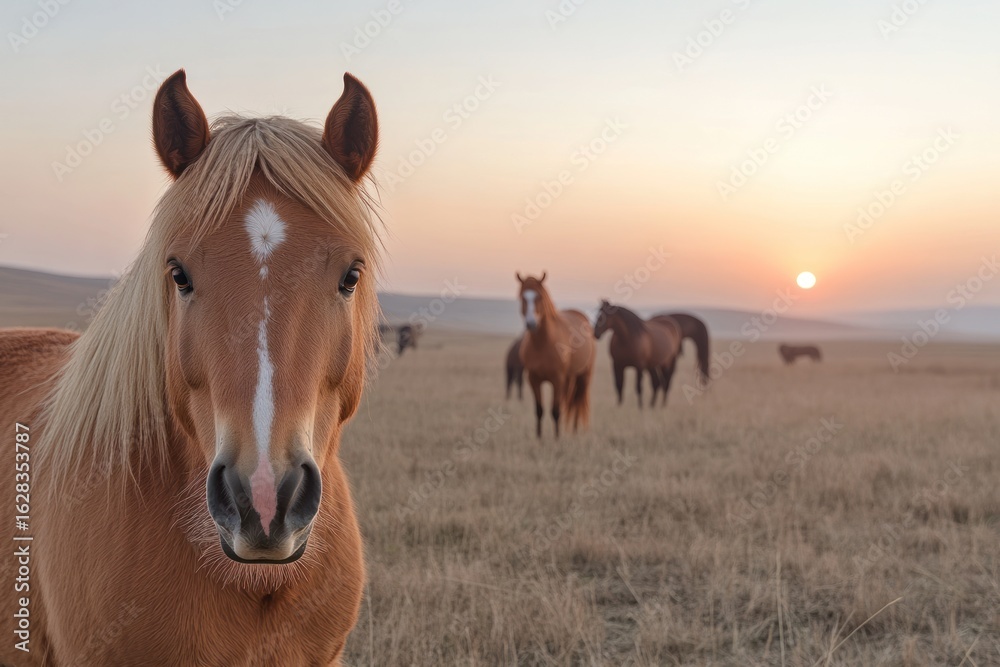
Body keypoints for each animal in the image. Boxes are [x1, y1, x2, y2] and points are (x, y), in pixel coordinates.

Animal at [516, 273, 596, 438]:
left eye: (539, 297)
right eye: (522, 297)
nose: (531, 323)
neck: (542, 344)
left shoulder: (557, 379)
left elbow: (556, 411)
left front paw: (557, 438)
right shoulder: (534, 379)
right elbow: (539, 410)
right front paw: (539, 438)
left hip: (583, 376)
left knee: (577, 402)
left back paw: (574, 431)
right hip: (569, 378)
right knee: (570, 402)